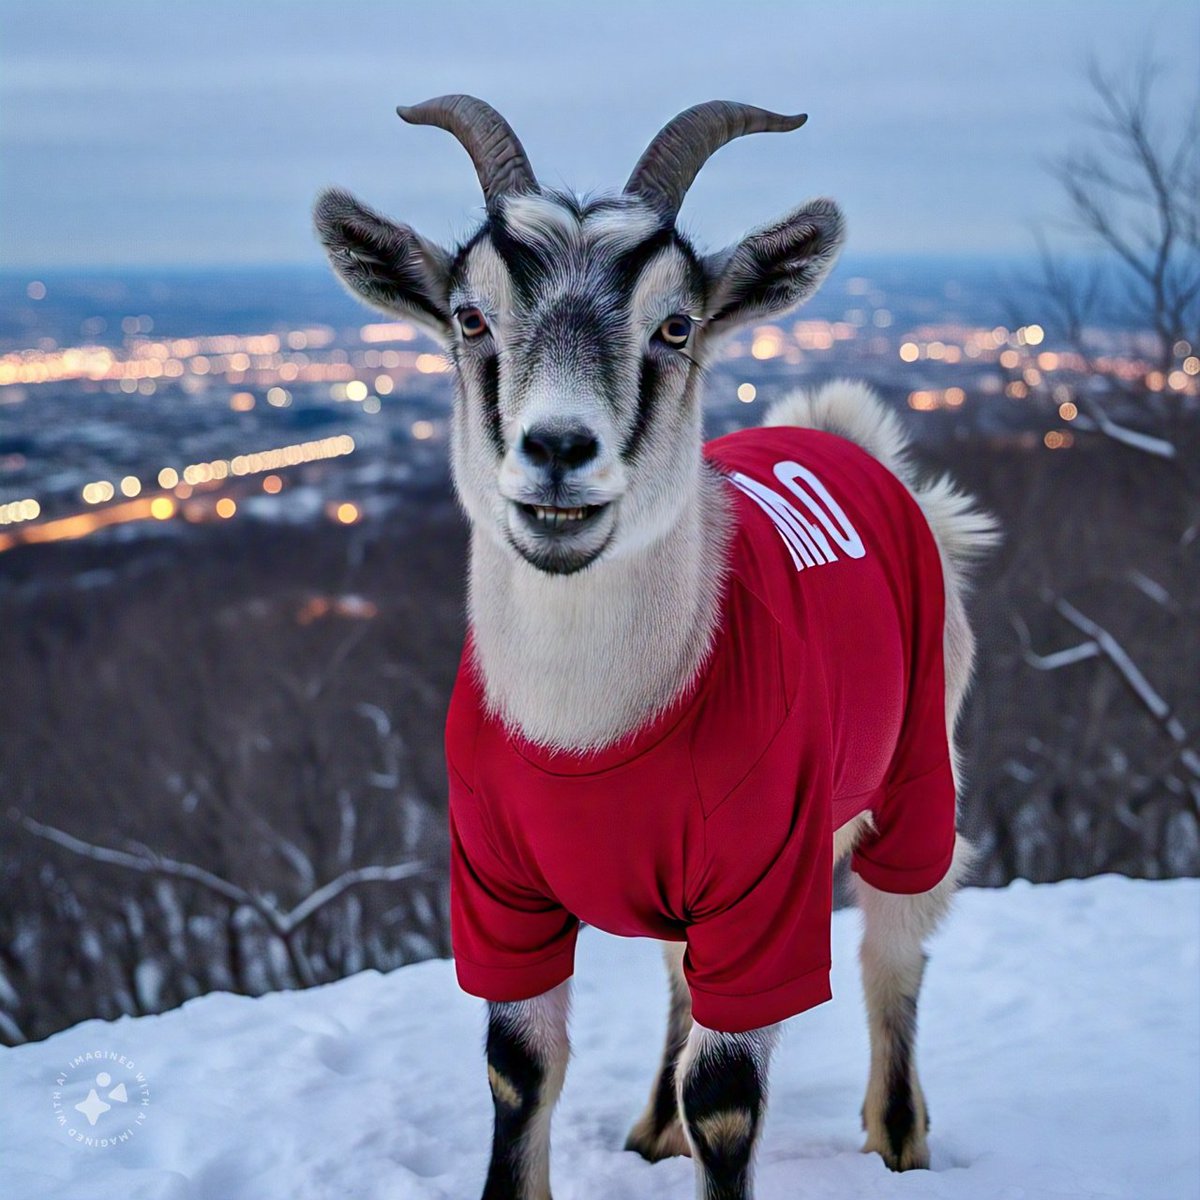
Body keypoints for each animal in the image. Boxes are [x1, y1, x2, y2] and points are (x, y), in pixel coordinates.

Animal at [315, 96, 997, 1200]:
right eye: (469, 317)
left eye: (676, 324)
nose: (557, 450)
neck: (590, 729)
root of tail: (845, 435)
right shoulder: (498, 883)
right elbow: (519, 1067)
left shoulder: (766, 878)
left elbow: (726, 1095)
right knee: (687, 980)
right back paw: (650, 1127)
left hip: (916, 773)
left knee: (894, 953)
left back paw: (899, 1141)